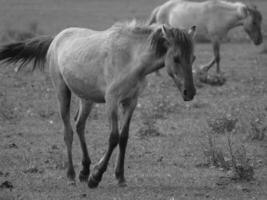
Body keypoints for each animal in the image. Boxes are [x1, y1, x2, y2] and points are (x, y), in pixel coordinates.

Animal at [0, 20, 197, 188]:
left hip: (86, 99)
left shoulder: (131, 102)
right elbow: (113, 137)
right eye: (176, 58)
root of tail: (56, 38)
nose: (190, 92)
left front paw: (120, 177)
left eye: (193, 58)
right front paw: (96, 176)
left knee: (79, 125)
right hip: (62, 92)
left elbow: (124, 138)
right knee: (68, 132)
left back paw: (84, 171)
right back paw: (72, 175)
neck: (130, 58)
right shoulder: (112, 101)